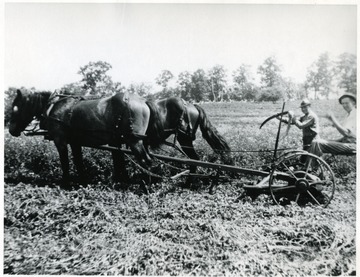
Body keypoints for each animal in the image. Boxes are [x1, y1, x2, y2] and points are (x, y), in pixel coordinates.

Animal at [8, 89, 152, 191]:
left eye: (15, 108)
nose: (11, 130)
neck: (52, 107)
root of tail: (143, 101)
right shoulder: (75, 142)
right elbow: (78, 161)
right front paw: (82, 181)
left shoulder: (60, 140)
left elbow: (65, 162)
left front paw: (65, 182)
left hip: (134, 141)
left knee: (146, 161)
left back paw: (146, 186)